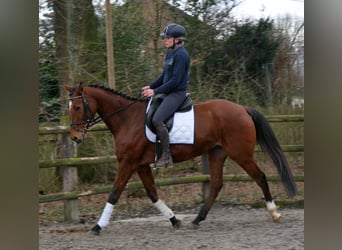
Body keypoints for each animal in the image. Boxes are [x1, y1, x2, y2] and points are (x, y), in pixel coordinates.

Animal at [65, 81, 296, 234]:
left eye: (77, 107)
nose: (75, 137)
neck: (126, 119)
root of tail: (242, 109)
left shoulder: (128, 163)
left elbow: (114, 193)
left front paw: (97, 226)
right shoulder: (140, 165)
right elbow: (152, 193)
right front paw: (174, 220)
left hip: (241, 153)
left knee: (260, 177)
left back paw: (274, 213)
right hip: (217, 153)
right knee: (216, 184)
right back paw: (197, 219)